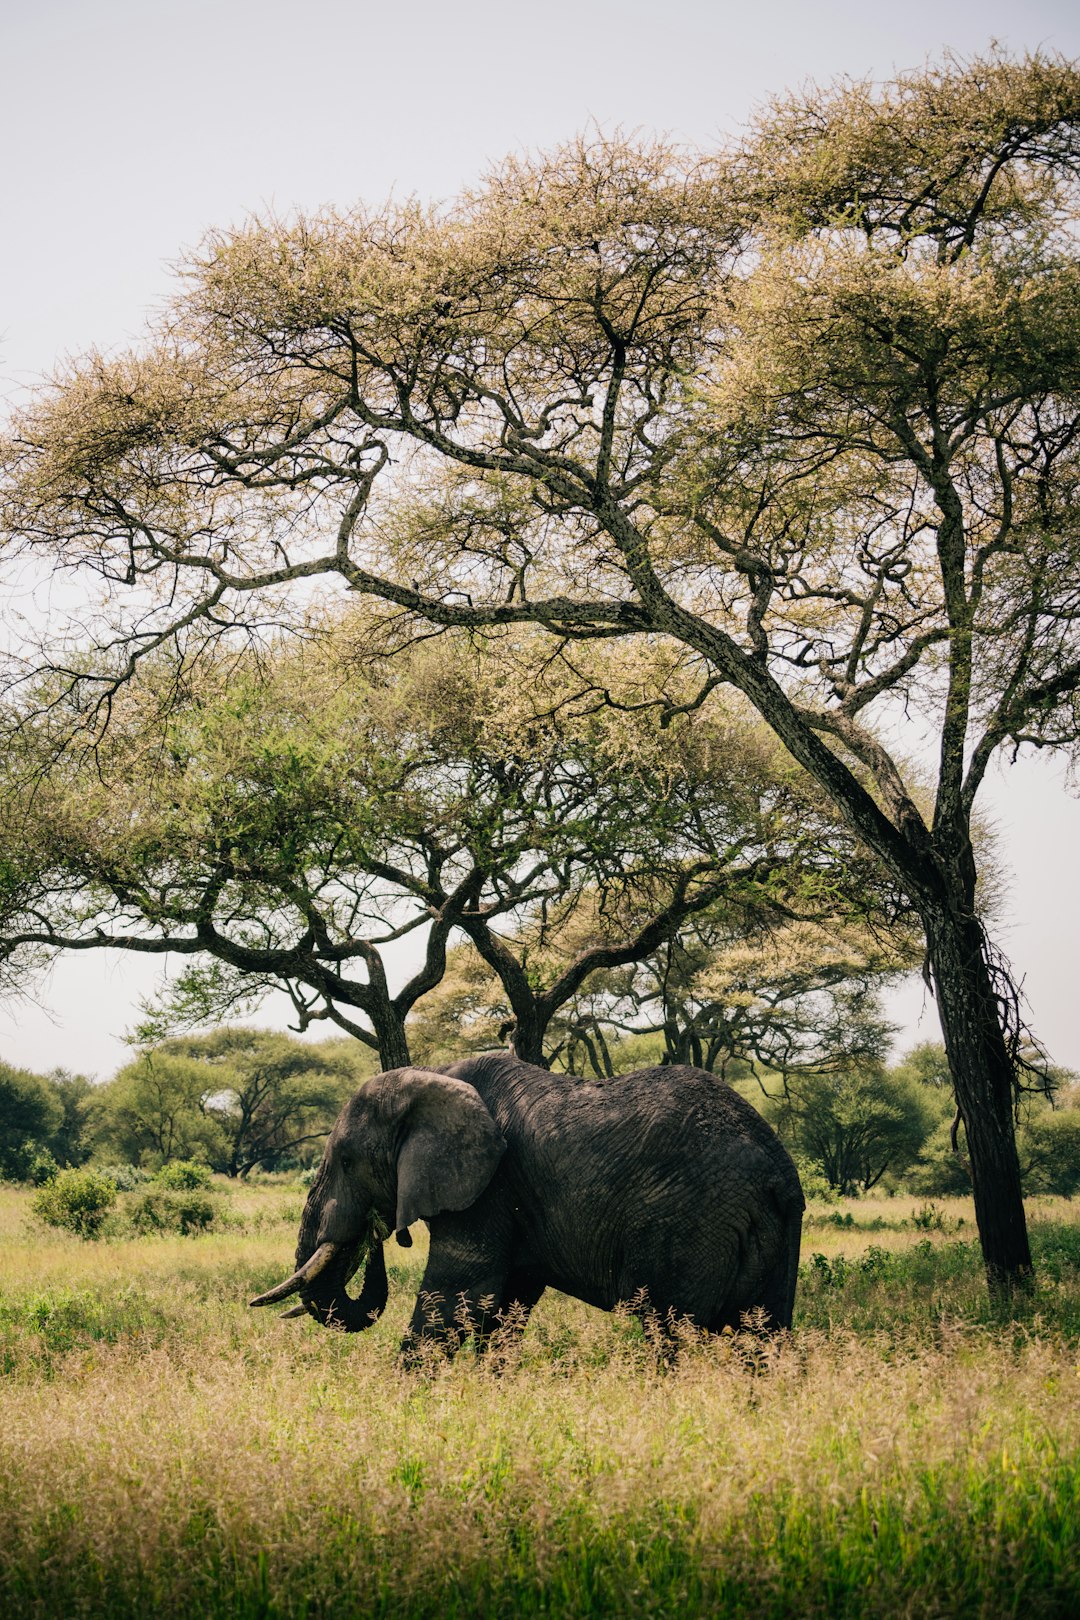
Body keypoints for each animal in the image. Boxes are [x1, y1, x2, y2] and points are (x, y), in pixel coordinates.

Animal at [250, 1053, 804, 1352]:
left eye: (345, 1160)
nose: (377, 1230)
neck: (434, 1074)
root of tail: (776, 1170)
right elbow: (505, 1306)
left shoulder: (490, 1187)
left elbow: (456, 1298)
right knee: (763, 1336)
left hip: (689, 1225)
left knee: (671, 1332)